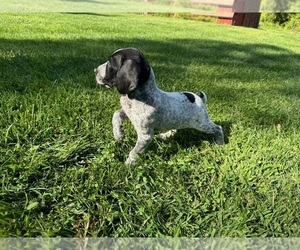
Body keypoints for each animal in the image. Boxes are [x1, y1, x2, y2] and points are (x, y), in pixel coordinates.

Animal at [95, 47, 224, 165]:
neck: (135, 97)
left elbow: (135, 152)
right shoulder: (127, 112)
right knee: (175, 128)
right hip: (179, 119)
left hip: (201, 123)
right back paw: (165, 135)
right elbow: (116, 114)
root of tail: (197, 96)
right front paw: (118, 134)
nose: (94, 70)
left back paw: (220, 143)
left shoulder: (145, 136)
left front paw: (128, 165)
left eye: (110, 63)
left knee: (218, 128)